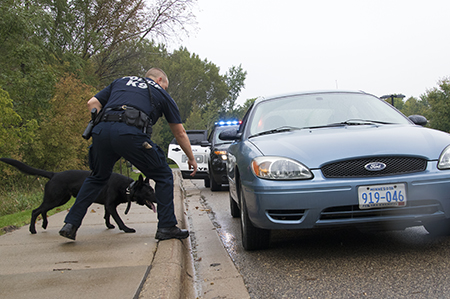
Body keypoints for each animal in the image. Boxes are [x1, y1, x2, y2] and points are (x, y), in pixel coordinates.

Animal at [0, 158, 156, 236]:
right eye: (149, 192)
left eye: (153, 190)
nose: (157, 199)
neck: (127, 187)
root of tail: (54, 174)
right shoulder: (111, 205)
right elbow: (118, 219)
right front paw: (126, 229)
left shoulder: (107, 205)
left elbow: (106, 216)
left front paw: (109, 225)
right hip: (56, 198)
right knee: (35, 211)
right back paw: (33, 230)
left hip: (60, 199)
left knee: (42, 210)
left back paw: (44, 224)